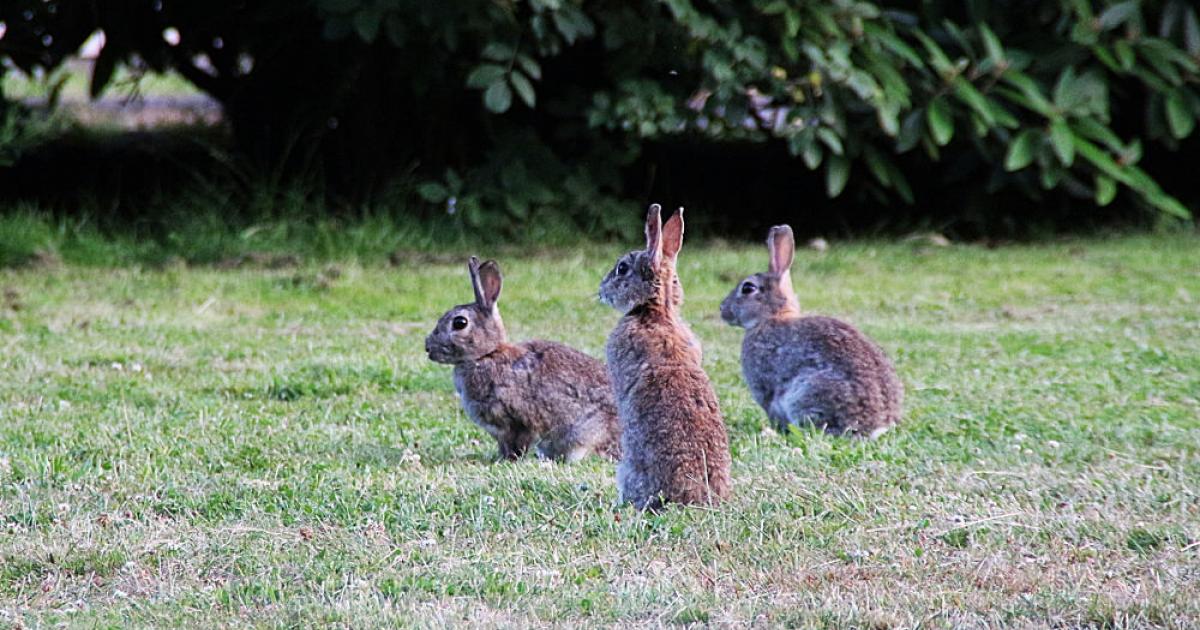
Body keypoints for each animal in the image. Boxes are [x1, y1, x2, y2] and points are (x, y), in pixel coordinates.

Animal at [427, 256, 624, 460]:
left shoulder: (516, 419)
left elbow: (518, 442)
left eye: (460, 323)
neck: (487, 355)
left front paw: (508, 460)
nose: (428, 348)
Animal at [715, 225, 902, 436]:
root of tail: (878, 426)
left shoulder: (765, 388)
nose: (722, 309)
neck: (772, 317)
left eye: (747, 288)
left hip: (807, 392)